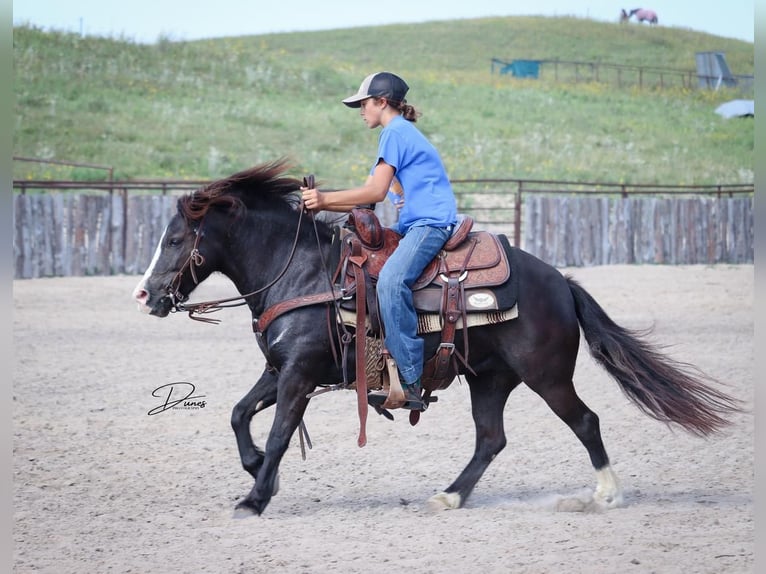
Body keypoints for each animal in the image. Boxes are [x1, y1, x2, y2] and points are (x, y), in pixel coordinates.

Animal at [134, 161, 744, 516]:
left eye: (175, 239)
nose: (146, 296)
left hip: (547, 377)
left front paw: (256, 496)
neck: (303, 273)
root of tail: (560, 282)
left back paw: (606, 493)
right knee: (491, 439)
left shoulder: (300, 375)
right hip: (490, 380)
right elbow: (239, 415)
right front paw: (258, 469)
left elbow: (282, 431)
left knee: (586, 422)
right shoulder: (278, 369)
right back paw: (450, 494)